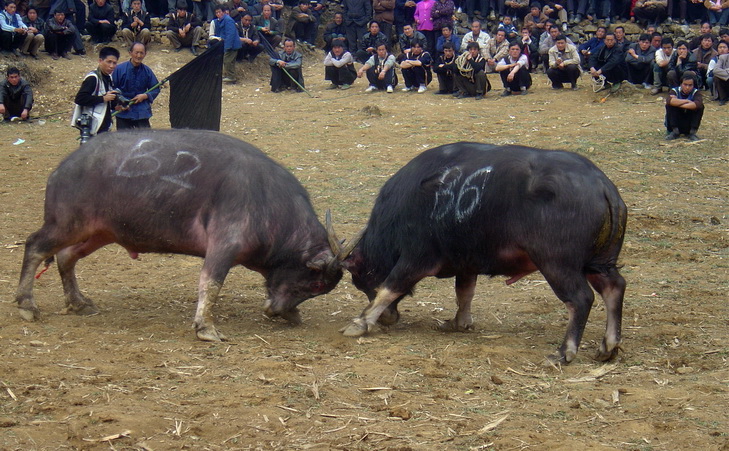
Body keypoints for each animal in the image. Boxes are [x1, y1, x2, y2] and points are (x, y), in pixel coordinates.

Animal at [15, 129, 342, 340]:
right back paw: (27, 305)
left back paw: (78, 302)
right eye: (316, 284)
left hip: (98, 232)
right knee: (35, 246)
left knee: (65, 257)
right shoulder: (224, 245)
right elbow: (211, 283)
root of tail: (62, 169)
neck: (270, 203)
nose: (277, 312)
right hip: (67, 224)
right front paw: (205, 328)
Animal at [332, 143, 628, 366]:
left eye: (361, 280)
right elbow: (464, 292)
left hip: (557, 264)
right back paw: (608, 346)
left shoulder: (415, 259)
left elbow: (389, 287)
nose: (388, 318)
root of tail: (601, 185)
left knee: (580, 299)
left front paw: (361, 323)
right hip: (600, 262)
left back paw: (564, 352)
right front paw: (459, 322)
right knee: (614, 287)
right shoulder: (466, 262)